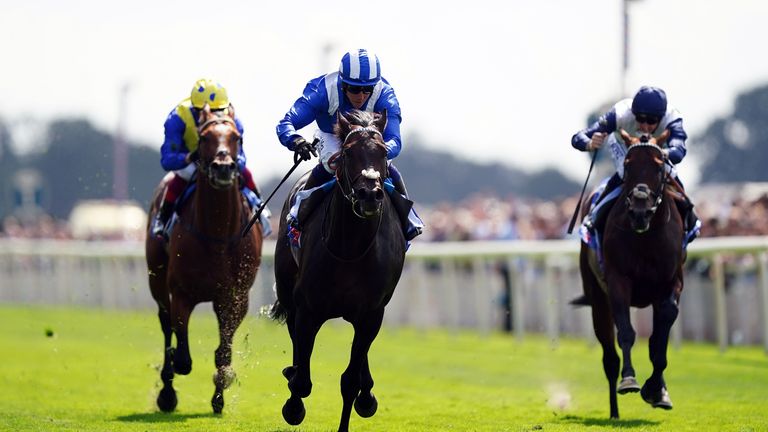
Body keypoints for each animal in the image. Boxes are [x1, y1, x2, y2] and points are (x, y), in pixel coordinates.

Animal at [145, 103, 264, 414]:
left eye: (237, 137)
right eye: (204, 137)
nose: (223, 167)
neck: (218, 236)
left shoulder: (235, 297)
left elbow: (223, 353)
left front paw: (220, 394)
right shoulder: (181, 292)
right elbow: (182, 355)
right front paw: (174, 378)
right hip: (156, 279)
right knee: (165, 324)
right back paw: (167, 393)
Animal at [274, 109, 408, 430]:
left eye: (384, 152)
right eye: (347, 152)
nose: (369, 194)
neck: (351, 249)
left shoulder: (372, 313)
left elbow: (350, 380)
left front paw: (362, 397)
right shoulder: (308, 309)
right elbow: (302, 380)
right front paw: (293, 406)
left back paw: (367, 393)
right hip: (287, 291)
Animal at [576, 129, 684, 418]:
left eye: (659, 167)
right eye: (628, 164)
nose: (639, 211)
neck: (646, 237)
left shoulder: (671, 281)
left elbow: (659, 339)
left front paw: (657, 390)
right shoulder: (618, 281)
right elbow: (626, 332)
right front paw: (630, 380)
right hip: (598, 299)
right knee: (609, 357)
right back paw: (614, 412)